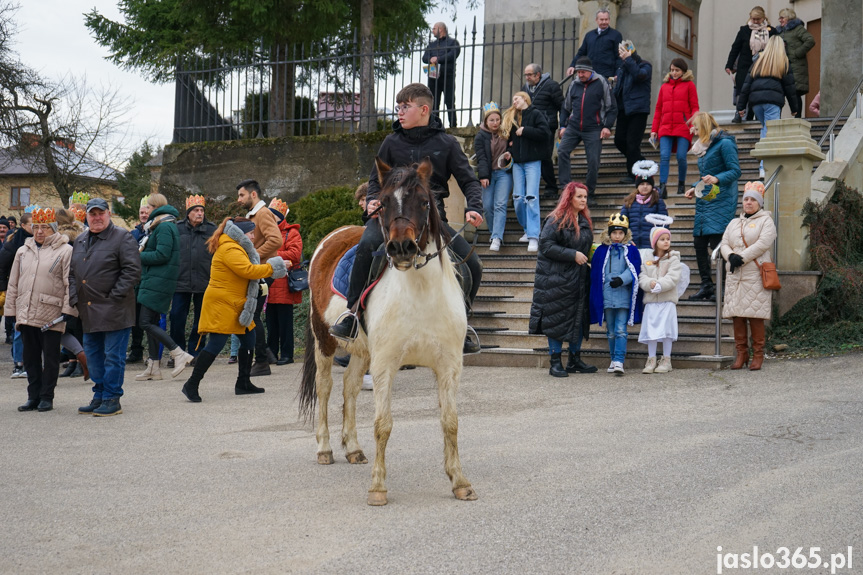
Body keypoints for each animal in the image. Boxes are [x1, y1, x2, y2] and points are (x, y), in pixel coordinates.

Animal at [302, 158, 480, 504]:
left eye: (424, 201)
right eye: (383, 202)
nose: (401, 248)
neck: (420, 292)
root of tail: (333, 235)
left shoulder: (449, 365)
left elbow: (450, 422)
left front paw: (460, 481)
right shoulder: (385, 364)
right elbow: (383, 425)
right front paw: (378, 487)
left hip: (361, 351)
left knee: (350, 389)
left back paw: (353, 448)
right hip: (325, 341)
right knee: (325, 388)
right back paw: (325, 448)